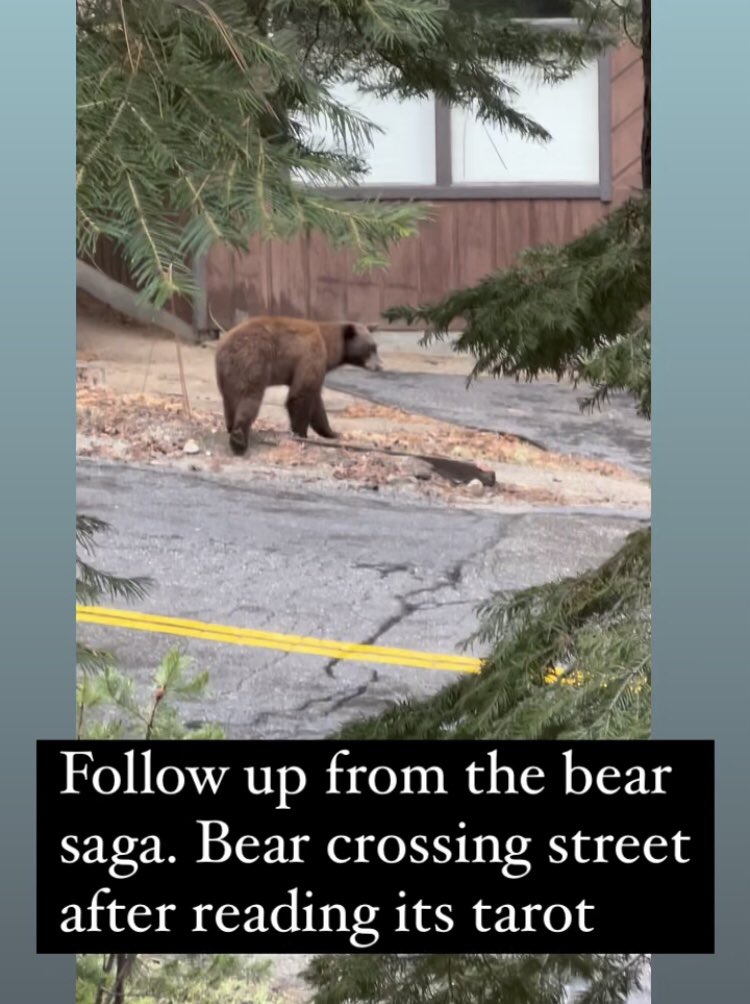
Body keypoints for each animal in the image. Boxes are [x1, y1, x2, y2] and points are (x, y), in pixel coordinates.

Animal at [214, 315, 383, 455]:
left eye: (375, 347)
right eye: (370, 347)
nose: (380, 366)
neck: (329, 346)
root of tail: (223, 346)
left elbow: (316, 402)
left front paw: (332, 432)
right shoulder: (310, 356)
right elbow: (301, 394)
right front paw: (301, 434)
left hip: (227, 374)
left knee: (230, 400)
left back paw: (230, 427)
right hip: (253, 361)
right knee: (249, 399)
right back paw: (239, 439)